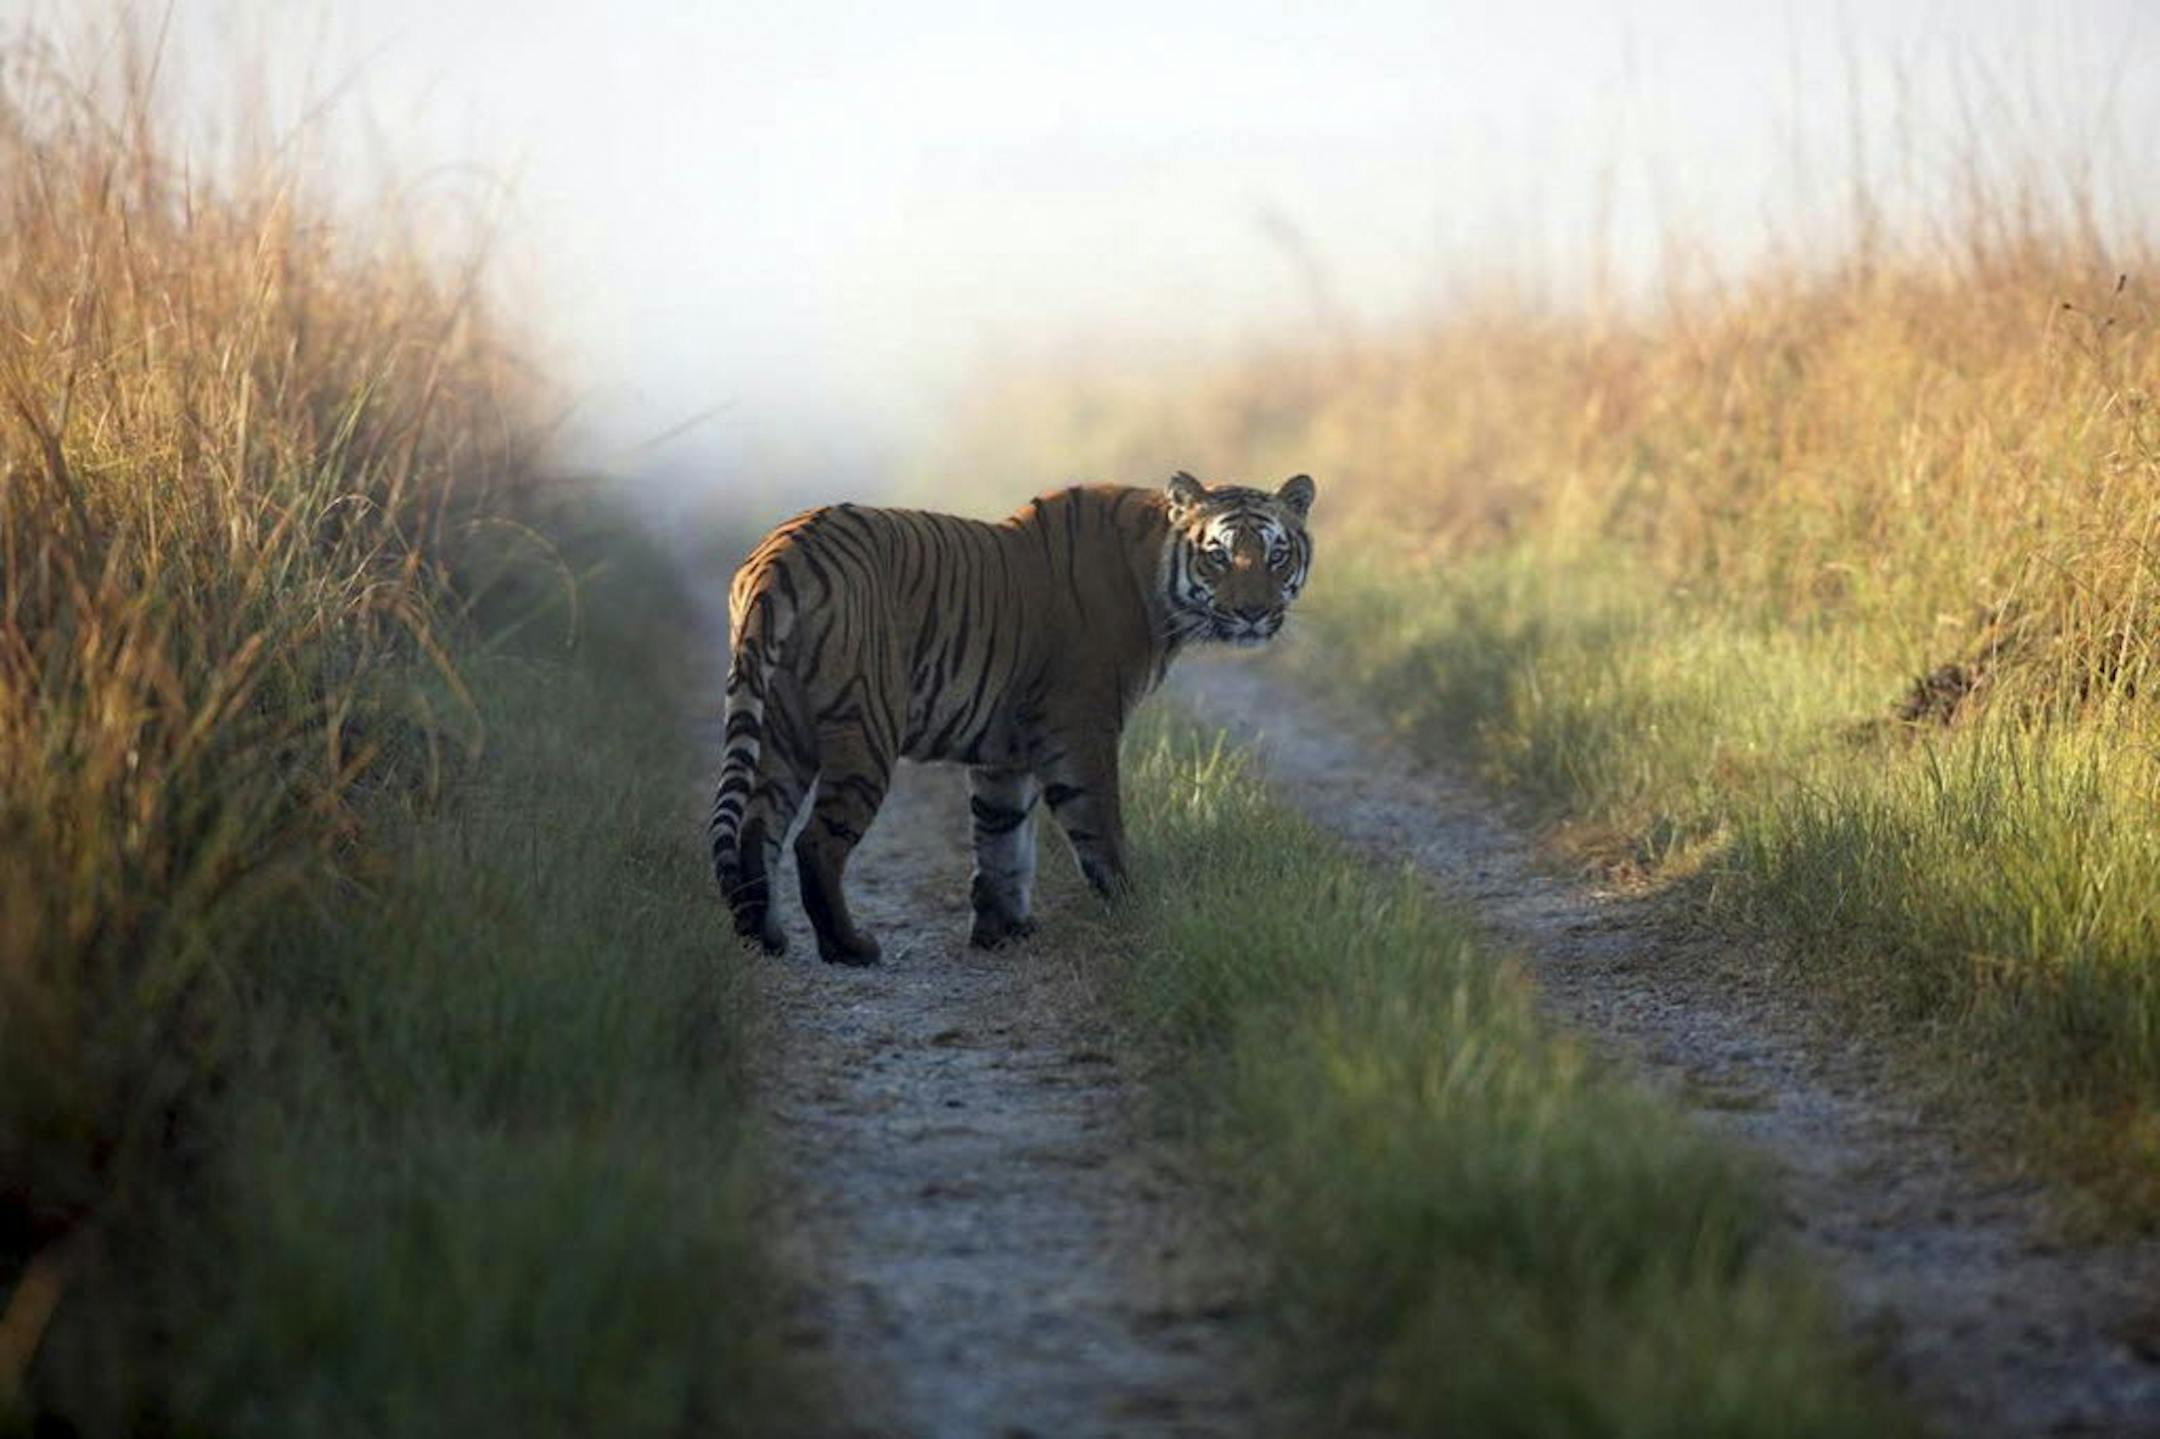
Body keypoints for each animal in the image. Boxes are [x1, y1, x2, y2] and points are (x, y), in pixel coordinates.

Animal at [707, 470, 1316, 964]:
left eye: (1276, 555)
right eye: (1218, 555)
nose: (1255, 612)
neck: (1155, 578)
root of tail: (781, 556)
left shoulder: (1005, 752)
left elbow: (1002, 837)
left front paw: (1003, 931)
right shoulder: (1083, 729)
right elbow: (1100, 831)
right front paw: (1136, 914)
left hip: (784, 727)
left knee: (758, 826)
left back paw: (764, 936)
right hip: (865, 727)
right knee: (816, 842)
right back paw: (848, 947)